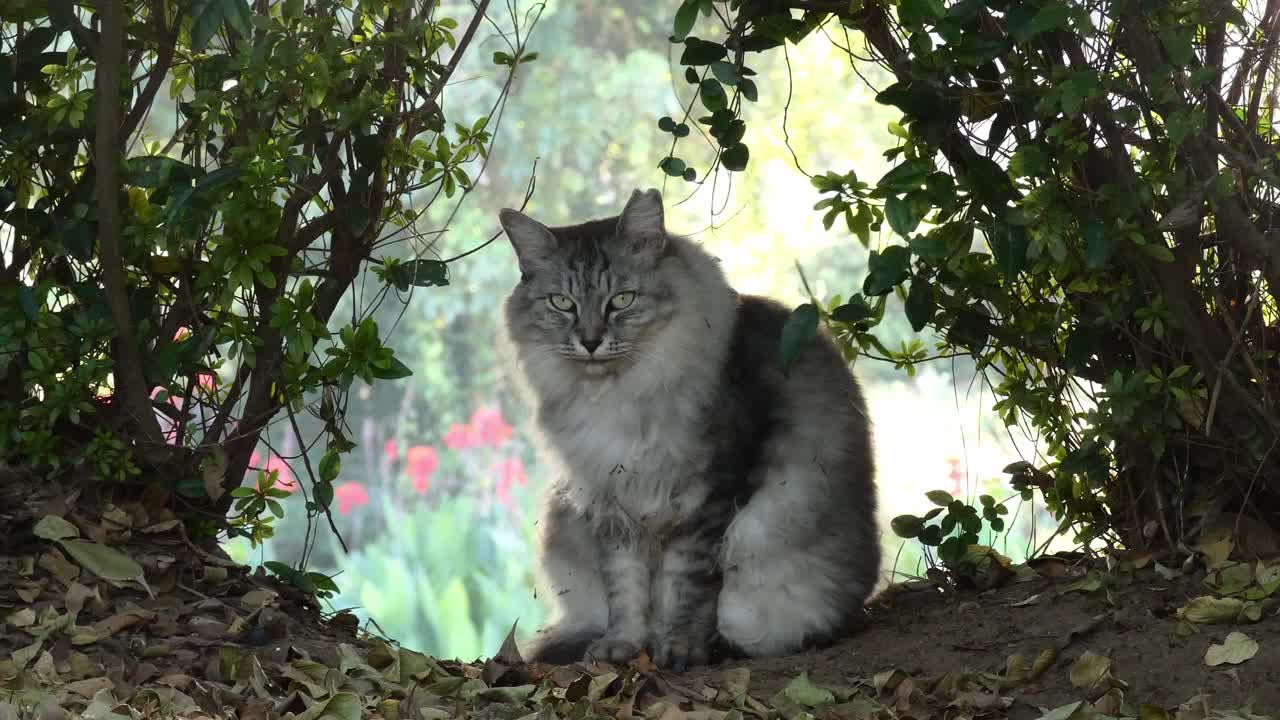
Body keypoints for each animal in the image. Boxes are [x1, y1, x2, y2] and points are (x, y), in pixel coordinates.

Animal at [499, 188, 880, 671]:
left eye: (622, 299)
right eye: (562, 303)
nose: (590, 341)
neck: (616, 397)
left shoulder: (708, 496)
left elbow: (686, 587)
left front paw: (679, 647)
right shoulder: (612, 500)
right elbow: (626, 587)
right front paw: (623, 645)